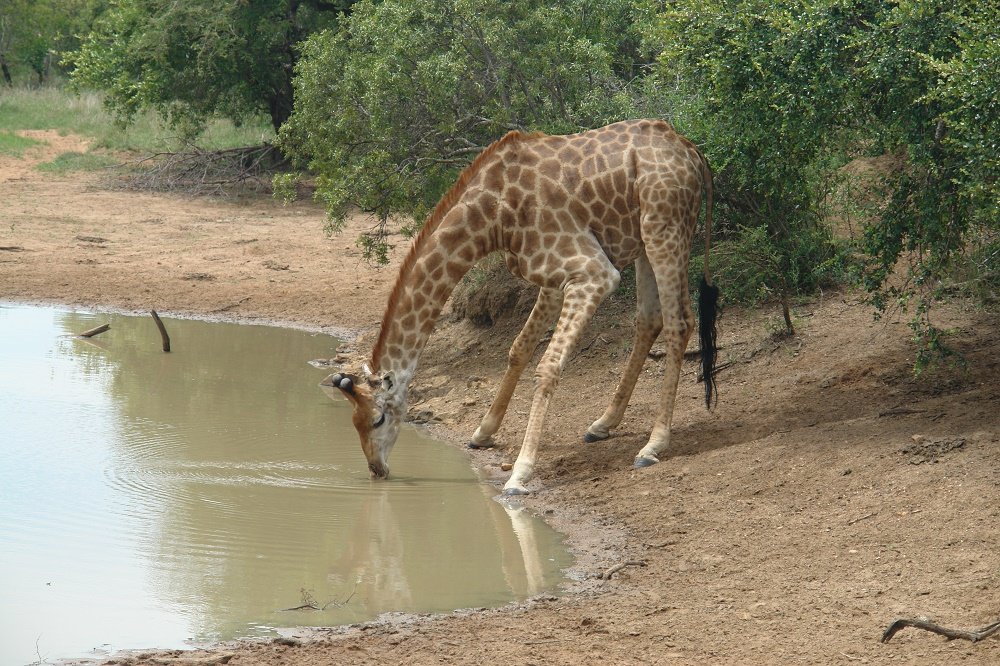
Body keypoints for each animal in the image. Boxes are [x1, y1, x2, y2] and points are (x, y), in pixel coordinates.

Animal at [328, 118, 720, 492]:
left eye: (377, 418)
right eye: (353, 421)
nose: (376, 469)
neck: (493, 215)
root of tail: (693, 152)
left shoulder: (592, 272)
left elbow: (547, 366)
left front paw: (520, 474)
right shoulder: (553, 278)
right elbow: (519, 348)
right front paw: (483, 432)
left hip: (665, 229)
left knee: (680, 321)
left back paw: (653, 445)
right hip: (643, 240)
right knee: (650, 319)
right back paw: (602, 424)